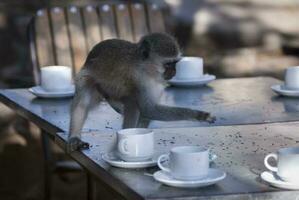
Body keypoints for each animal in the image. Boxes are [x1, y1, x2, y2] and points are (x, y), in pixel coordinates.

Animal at [68, 33, 216, 152]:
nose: (174, 72)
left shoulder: (156, 84)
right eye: (168, 64)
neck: (144, 67)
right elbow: (149, 109)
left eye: (175, 63)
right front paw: (199, 115)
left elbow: (148, 111)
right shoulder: (141, 80)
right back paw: (75, 137)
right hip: (89, 78)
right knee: (85, 103)